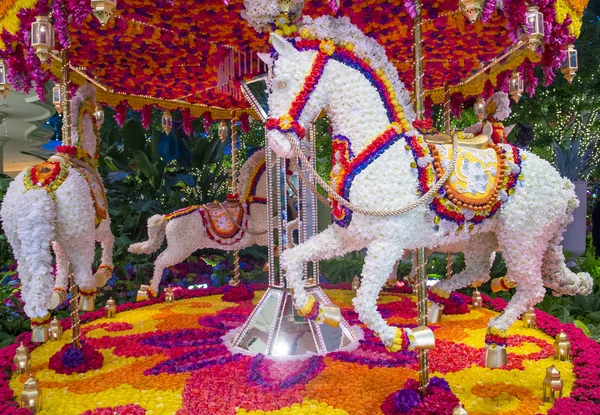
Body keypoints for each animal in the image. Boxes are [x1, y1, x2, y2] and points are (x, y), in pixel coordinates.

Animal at [129, 150, 270, 296]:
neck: (256, 202)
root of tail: (168, 217)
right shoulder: (261, 236)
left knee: (160, 259)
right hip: (181, 249)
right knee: (160, 261)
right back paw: (152, 292)